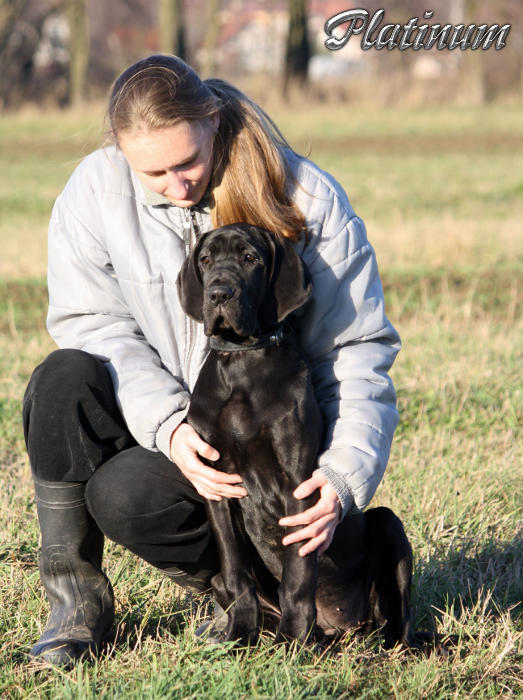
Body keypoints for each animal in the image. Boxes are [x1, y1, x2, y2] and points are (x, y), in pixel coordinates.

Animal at [177, 223, 414, 648]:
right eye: (205, 259)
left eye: (250, 258)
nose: (219, 293)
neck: (242, 361)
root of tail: (338, 629)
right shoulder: (215, 485)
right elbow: (236, 570)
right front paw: (238, 635)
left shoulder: (297, 484)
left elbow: (298, 577)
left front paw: (293, 643)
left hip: (388, 526)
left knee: (401, 619)